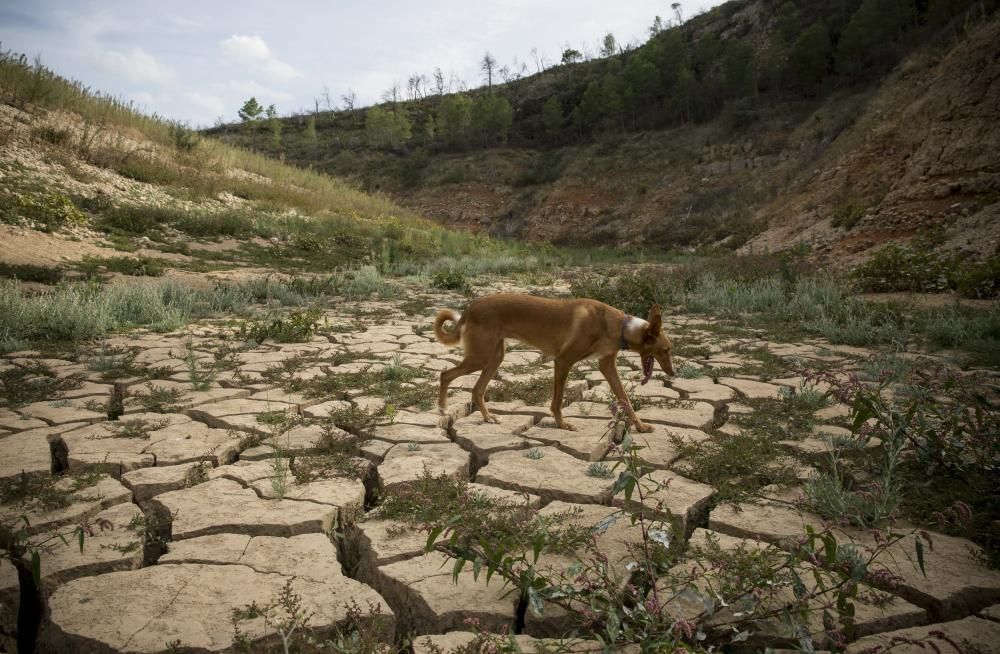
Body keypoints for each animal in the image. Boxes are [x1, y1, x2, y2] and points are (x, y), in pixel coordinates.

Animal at [434, 294, 676, 434]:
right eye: (666, 350)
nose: (673, 373)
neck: (618, 325)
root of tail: (470, 307)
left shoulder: (607, 366)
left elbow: (625, 399)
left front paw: (640, 426)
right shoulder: (563, 361)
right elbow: (558, 401)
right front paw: (562, 424)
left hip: (495, 358)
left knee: (476, 390)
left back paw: (487, 417)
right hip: (480, 357)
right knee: (446, 374)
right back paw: (442, 407)